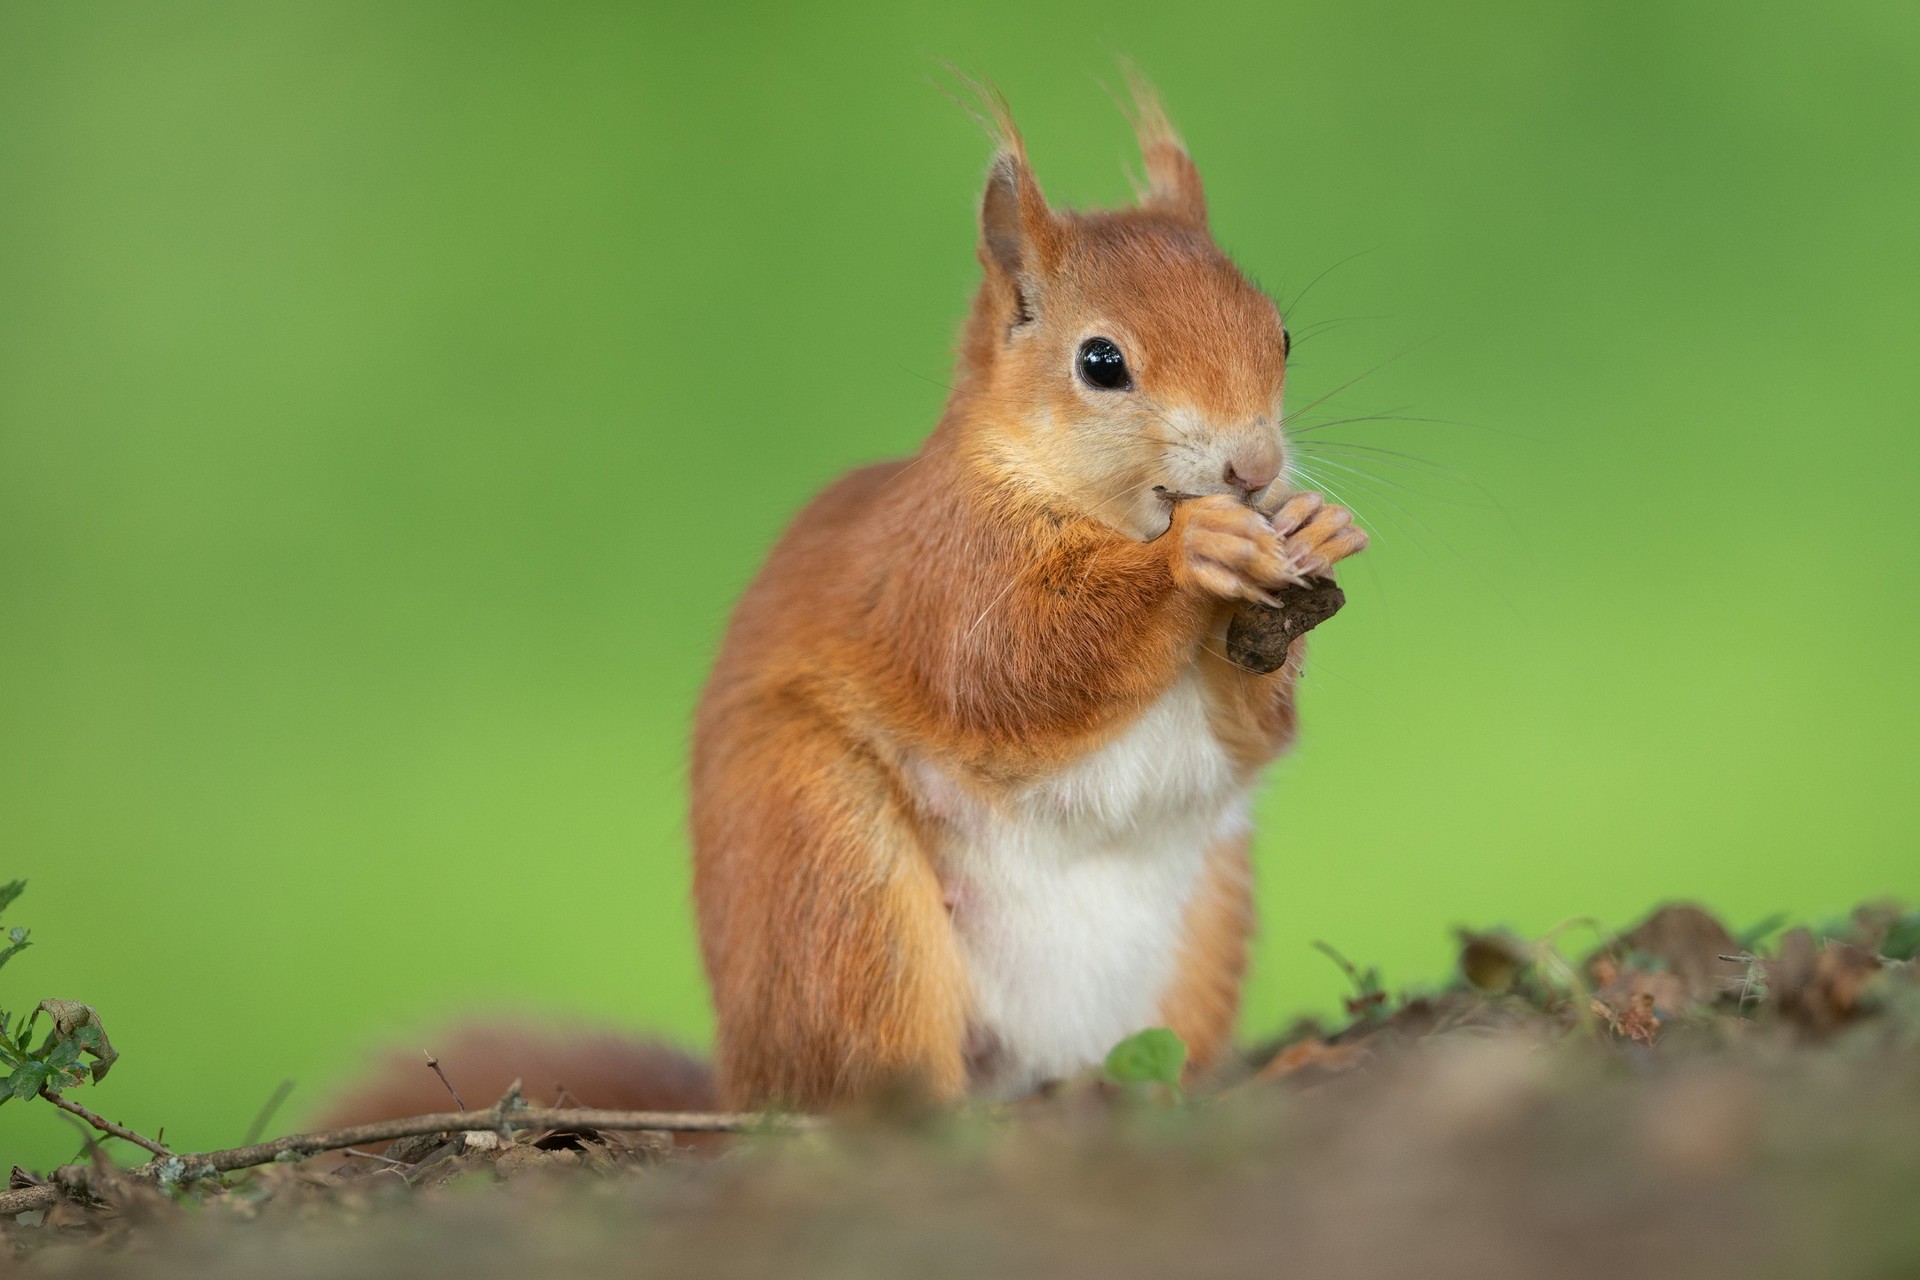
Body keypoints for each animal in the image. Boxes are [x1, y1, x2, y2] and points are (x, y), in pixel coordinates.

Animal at [320, 80, 1365, 1129]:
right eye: (1101, 363)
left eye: (1277, 333)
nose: (1256, 467)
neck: (1082, 501)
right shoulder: (939, 573)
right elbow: (1018, 665)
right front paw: (1196, 555)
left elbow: (1254, 732)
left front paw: (1316, 524)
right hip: (837, 884)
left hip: (1206, 916)